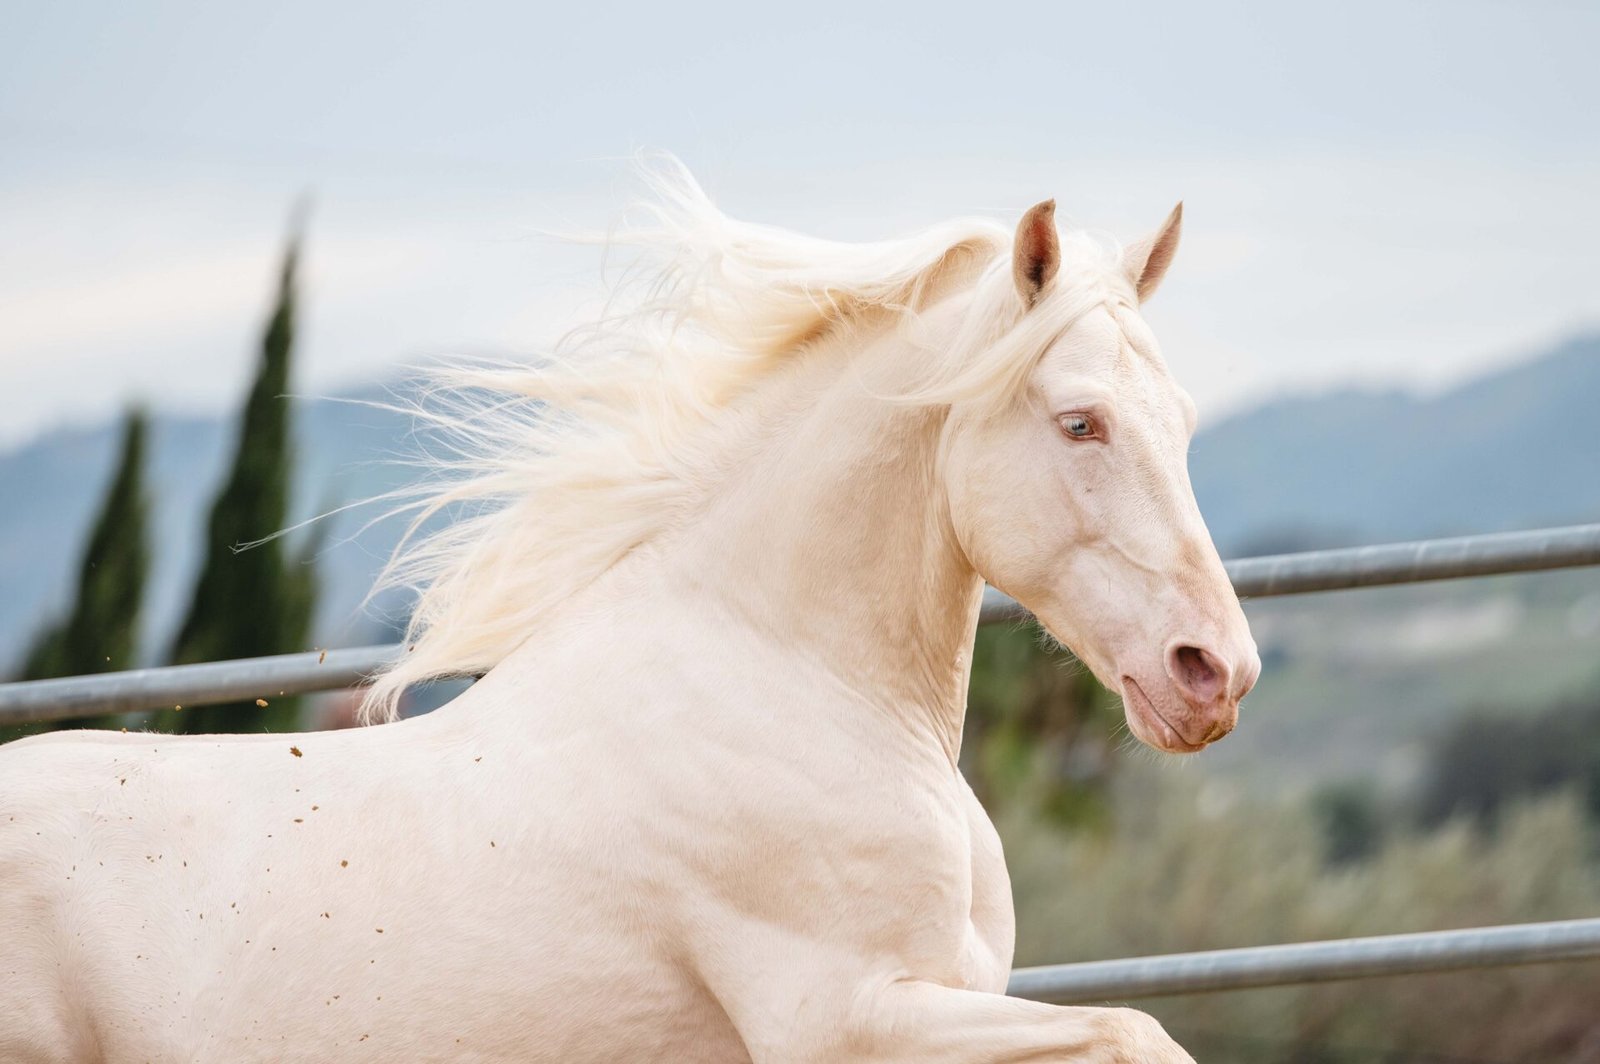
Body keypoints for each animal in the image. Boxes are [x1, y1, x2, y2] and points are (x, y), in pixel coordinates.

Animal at [1, 164, 1258, 1063]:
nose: (1213, 670)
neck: (798, 688)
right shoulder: (846, 1016)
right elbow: (1137, 1028)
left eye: (1185, 415)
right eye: (1080, 421)